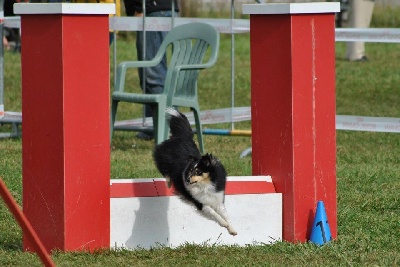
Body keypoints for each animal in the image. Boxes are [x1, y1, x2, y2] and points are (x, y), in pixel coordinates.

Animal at [152, 108, 236, 236]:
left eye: (198, 172)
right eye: (190, 171)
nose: (186, 179)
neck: (205, 185)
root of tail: (182, 136)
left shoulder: (217, 199)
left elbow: (225, 214)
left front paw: (232, 229)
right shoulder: (200, 203)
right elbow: (213, 213)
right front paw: (223, 223)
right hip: (163, 160)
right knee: (165, 172)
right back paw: (169, 183)